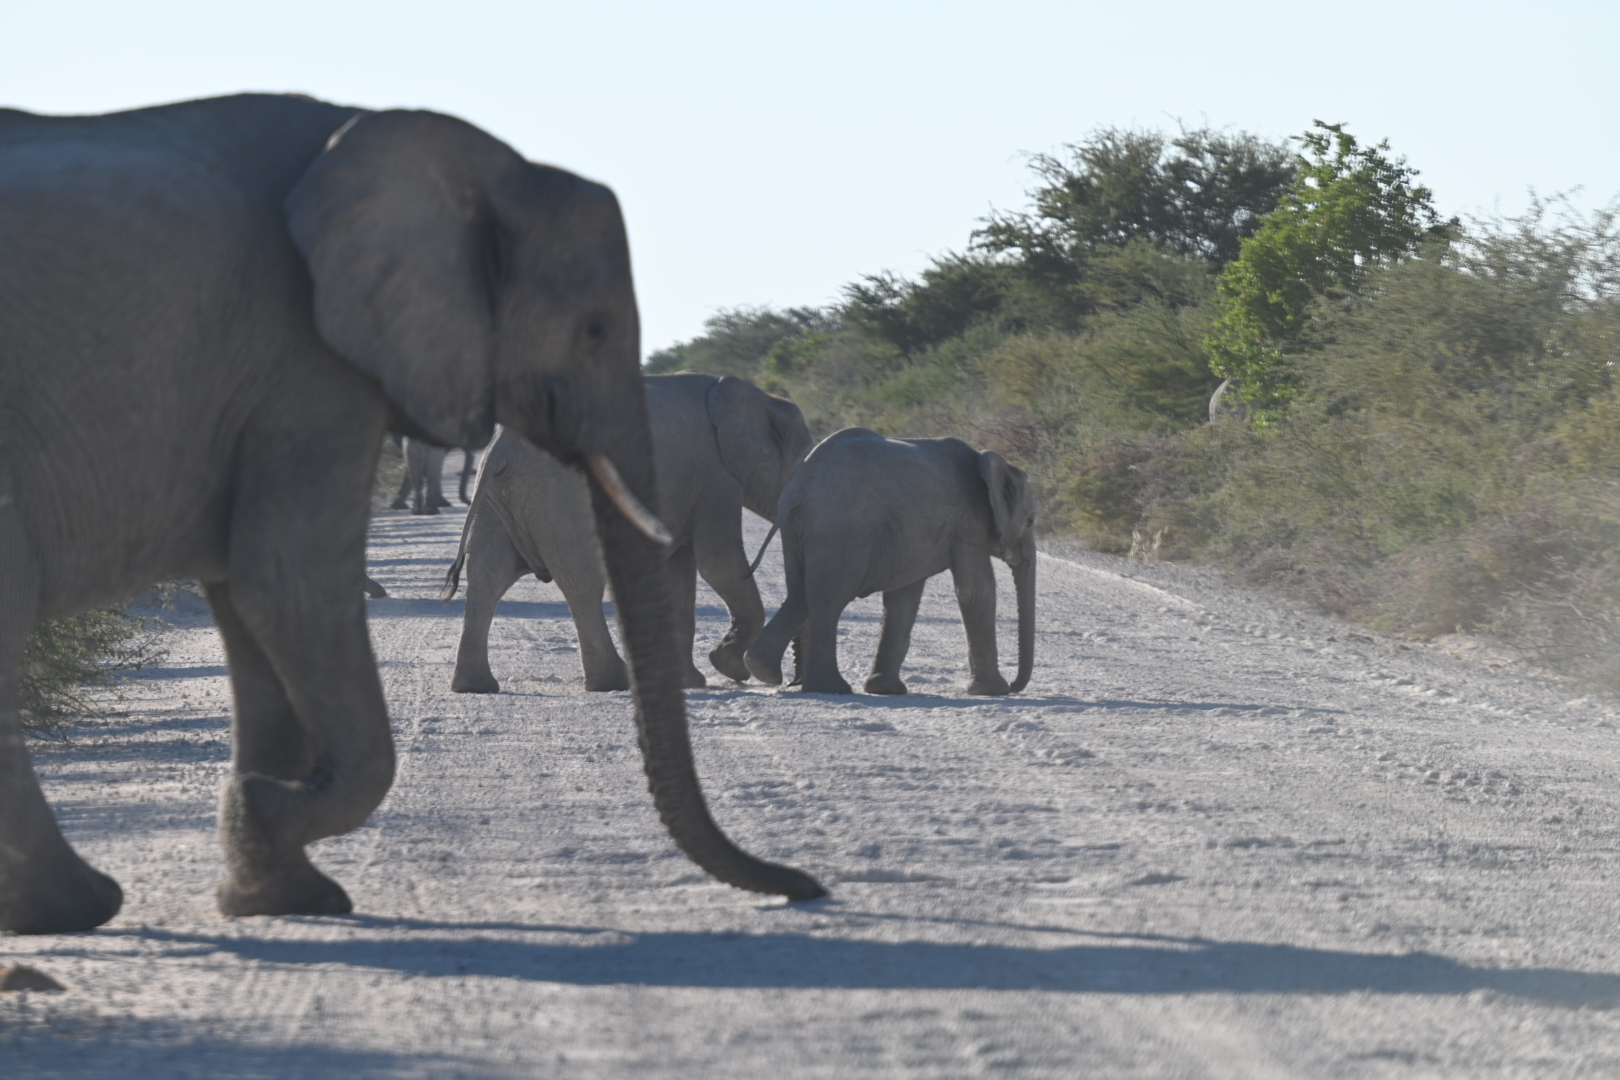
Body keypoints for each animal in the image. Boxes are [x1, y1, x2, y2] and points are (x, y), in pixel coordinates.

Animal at [443, 372, 816, 693]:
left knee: (487, 578)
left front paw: (689, 681)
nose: (789, 680)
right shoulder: (716, 475)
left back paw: (474, 686)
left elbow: (679, 574)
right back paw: (614, 682)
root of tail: (500, 448)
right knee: (583, 582)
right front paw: (727, 666)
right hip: (559, 496)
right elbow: (719, 563)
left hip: (497, 501)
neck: (759, 397)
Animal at [741, 430, 1030, 702]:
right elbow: (976, 591)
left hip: (800, 528)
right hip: (842, 529)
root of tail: (799, 484)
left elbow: (903, 599)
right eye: (1030, 519)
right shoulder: (968, 520)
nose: (1015, 685)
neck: (987, 459)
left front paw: (885, 690)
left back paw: (764, 669)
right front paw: (994, 692)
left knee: (800, 594)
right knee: (828, 600)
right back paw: (832, 688)